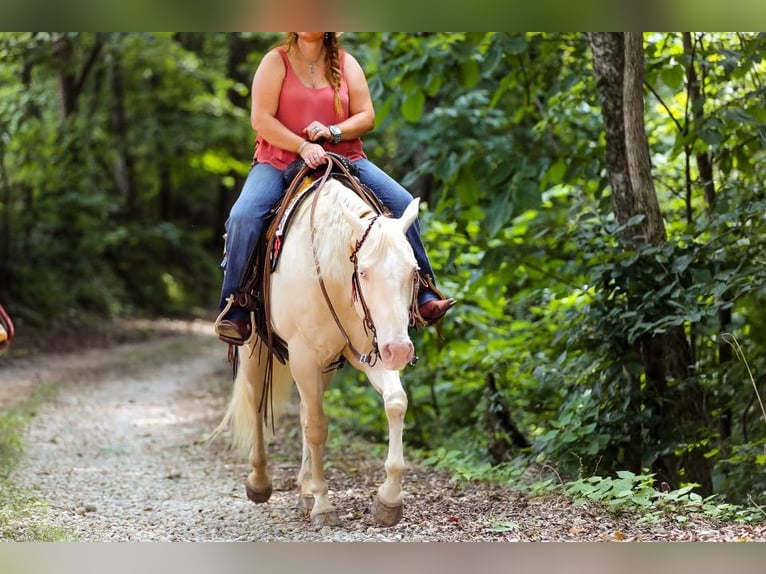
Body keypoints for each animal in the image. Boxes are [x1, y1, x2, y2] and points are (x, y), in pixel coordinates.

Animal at [218, 165, 421, 528]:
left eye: (414, 271)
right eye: (364, 272)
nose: (399, 351)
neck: (330, 271)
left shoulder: (371, 349)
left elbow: (396, 403)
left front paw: (389, 498)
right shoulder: (303, 356)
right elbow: (316, 428)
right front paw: (324, 506)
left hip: (324, 365)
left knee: (303, 410)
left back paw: (304, 489)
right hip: (255, 348)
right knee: (257, 404)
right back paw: (260, 482)